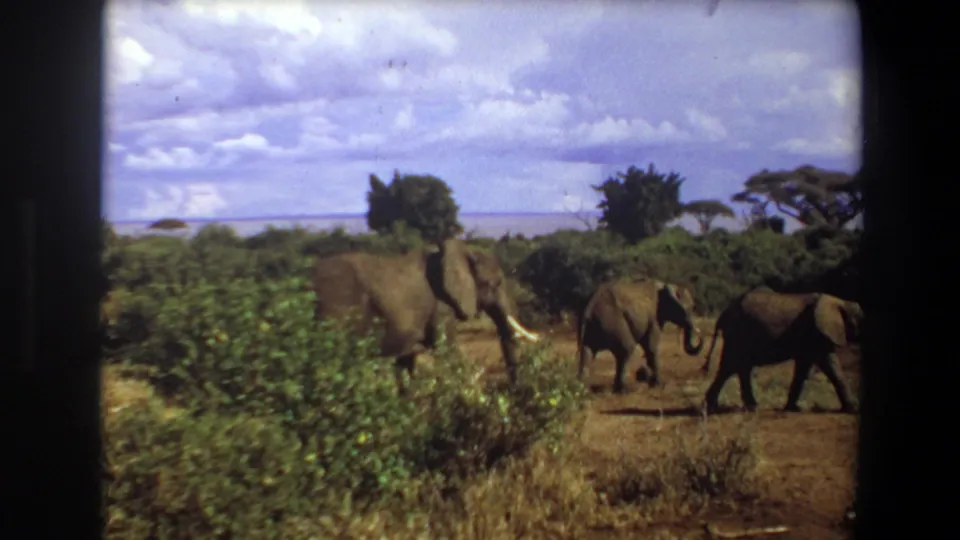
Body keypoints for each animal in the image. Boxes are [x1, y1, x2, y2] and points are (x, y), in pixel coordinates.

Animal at [576, 279, 705, 393]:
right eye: (691, 308)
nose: (699, 334)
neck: (666, 285)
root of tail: (590, 307)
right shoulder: (653, 318)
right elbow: (651, 347)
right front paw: (658, 385)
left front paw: (653, 384)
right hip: (612, 321)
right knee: (626, 349)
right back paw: (623, 391)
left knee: (586, 353)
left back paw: (583, 389)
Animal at [699, 287, 863, 414]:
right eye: (862, 320)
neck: (841, 301)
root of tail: (723, 314)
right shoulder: (817, 333)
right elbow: (830, 365)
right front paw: (854, 410)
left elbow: (803, 368)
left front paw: (794, 409)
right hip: (738, 333)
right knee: (732, 366)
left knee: (735, 368)